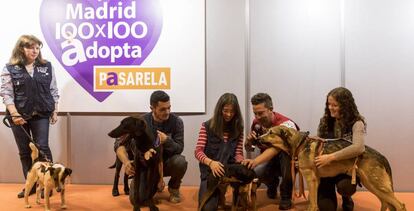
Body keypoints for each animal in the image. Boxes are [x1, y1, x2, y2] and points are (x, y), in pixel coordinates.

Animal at [260, 125, 406, 211]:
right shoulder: (316, 181)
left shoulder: (311, 180)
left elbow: (312, 203)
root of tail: (381, 156)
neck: (300, 144)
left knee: (400, 205)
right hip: (372, 185)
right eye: (266, 131)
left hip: (376, 184)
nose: (257, 138)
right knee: (386, 203)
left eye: (270, 132)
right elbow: (313, 202)